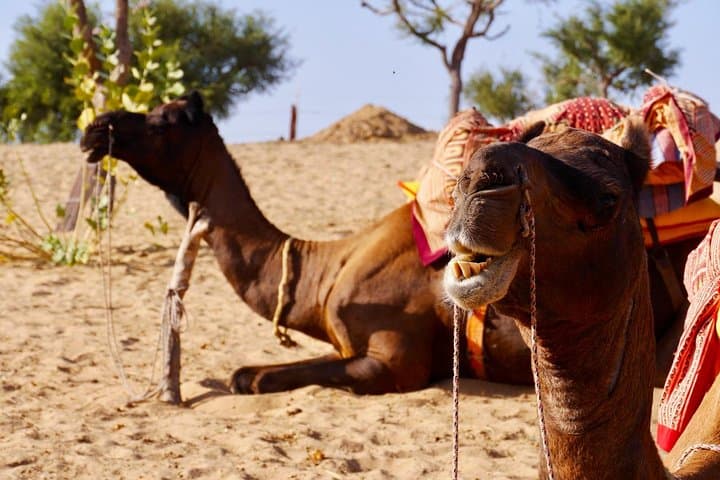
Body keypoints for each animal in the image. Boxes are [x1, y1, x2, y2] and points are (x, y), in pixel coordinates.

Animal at [80, 92, 688, 397]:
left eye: (164, 122)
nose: (95, 128)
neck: (325, 270)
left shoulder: (394, 362)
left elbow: (259, 379)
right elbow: (251, 372)